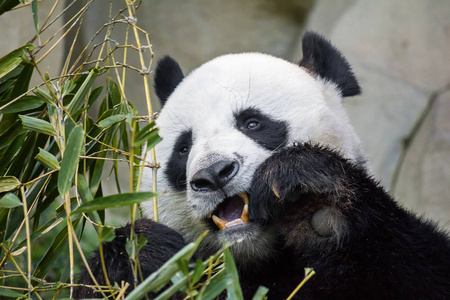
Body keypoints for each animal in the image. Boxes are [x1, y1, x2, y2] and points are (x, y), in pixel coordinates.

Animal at [74, 31, 450, 298]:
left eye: (252, 123)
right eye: (183, 148)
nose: (214, 173)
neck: (255, 260)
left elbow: (417, 264)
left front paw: (315, 208)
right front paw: (144, 254)